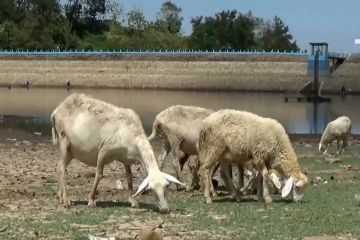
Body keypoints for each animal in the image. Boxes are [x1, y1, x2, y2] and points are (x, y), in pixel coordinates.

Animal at [51, 93, 184, 213]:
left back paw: (60, 196)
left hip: (71, 151)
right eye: (151, 189)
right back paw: (66, 200)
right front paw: (91, 200)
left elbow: (129, 177)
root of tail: (56, 110)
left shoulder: (126, 158)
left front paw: (134, 202)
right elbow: (99, 175)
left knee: (58, 166)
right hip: (64, 140)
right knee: (61, 168)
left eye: (166, 186)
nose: (165, 209)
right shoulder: (104, 150)